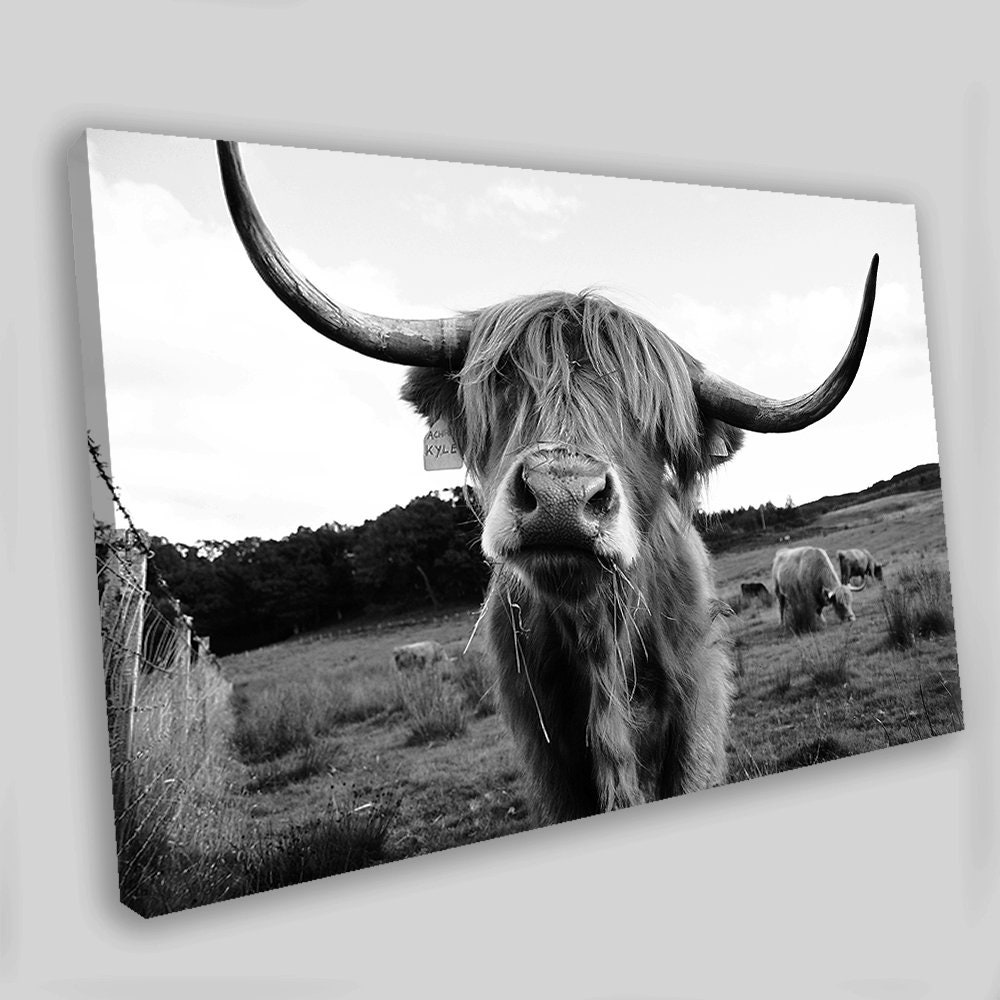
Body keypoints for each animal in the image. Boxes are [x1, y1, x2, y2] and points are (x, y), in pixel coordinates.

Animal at [217, 140, 878, 822]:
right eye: (504, 381)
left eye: (653, 418)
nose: (562, 496)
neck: (598, 642)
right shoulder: (545, 748)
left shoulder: (696, 710)